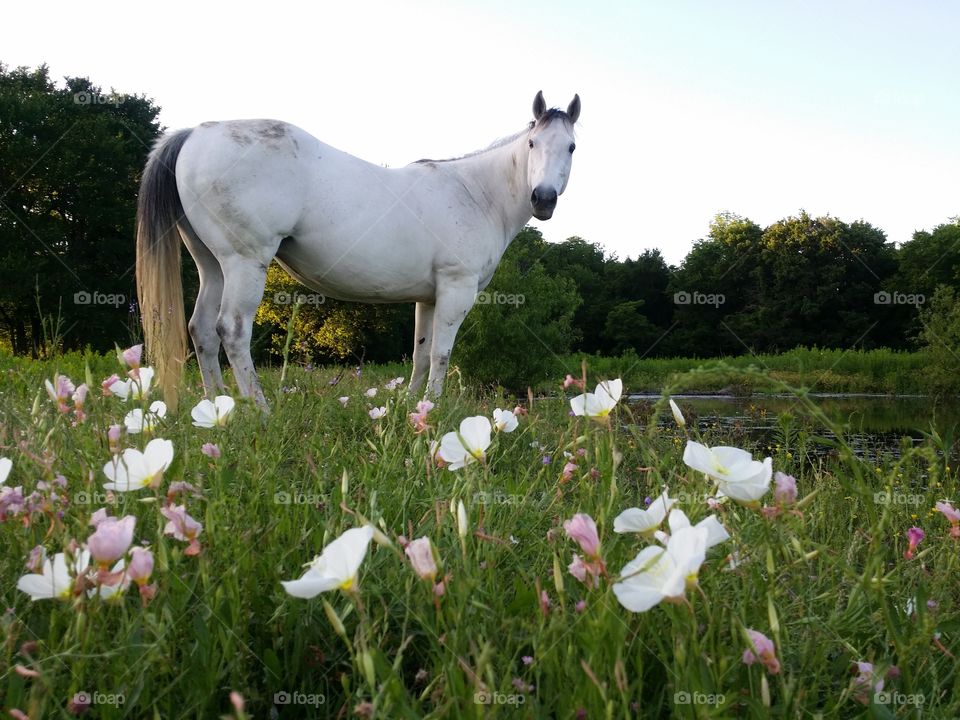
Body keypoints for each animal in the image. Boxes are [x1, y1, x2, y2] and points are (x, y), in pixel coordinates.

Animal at [137, 90, 576, 410]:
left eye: (571, 147)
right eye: (533, 142)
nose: (543, 198)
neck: (475, 192)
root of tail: (195, 133)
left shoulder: (429, 298)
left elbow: (420, 354)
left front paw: (411, 406)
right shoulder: (456, 289)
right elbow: (441, 354)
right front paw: (433, 409)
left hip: (212, 264)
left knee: (201, 330)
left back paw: (218, 409)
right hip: (244, 262)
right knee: (231, 329)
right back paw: (259, 410)